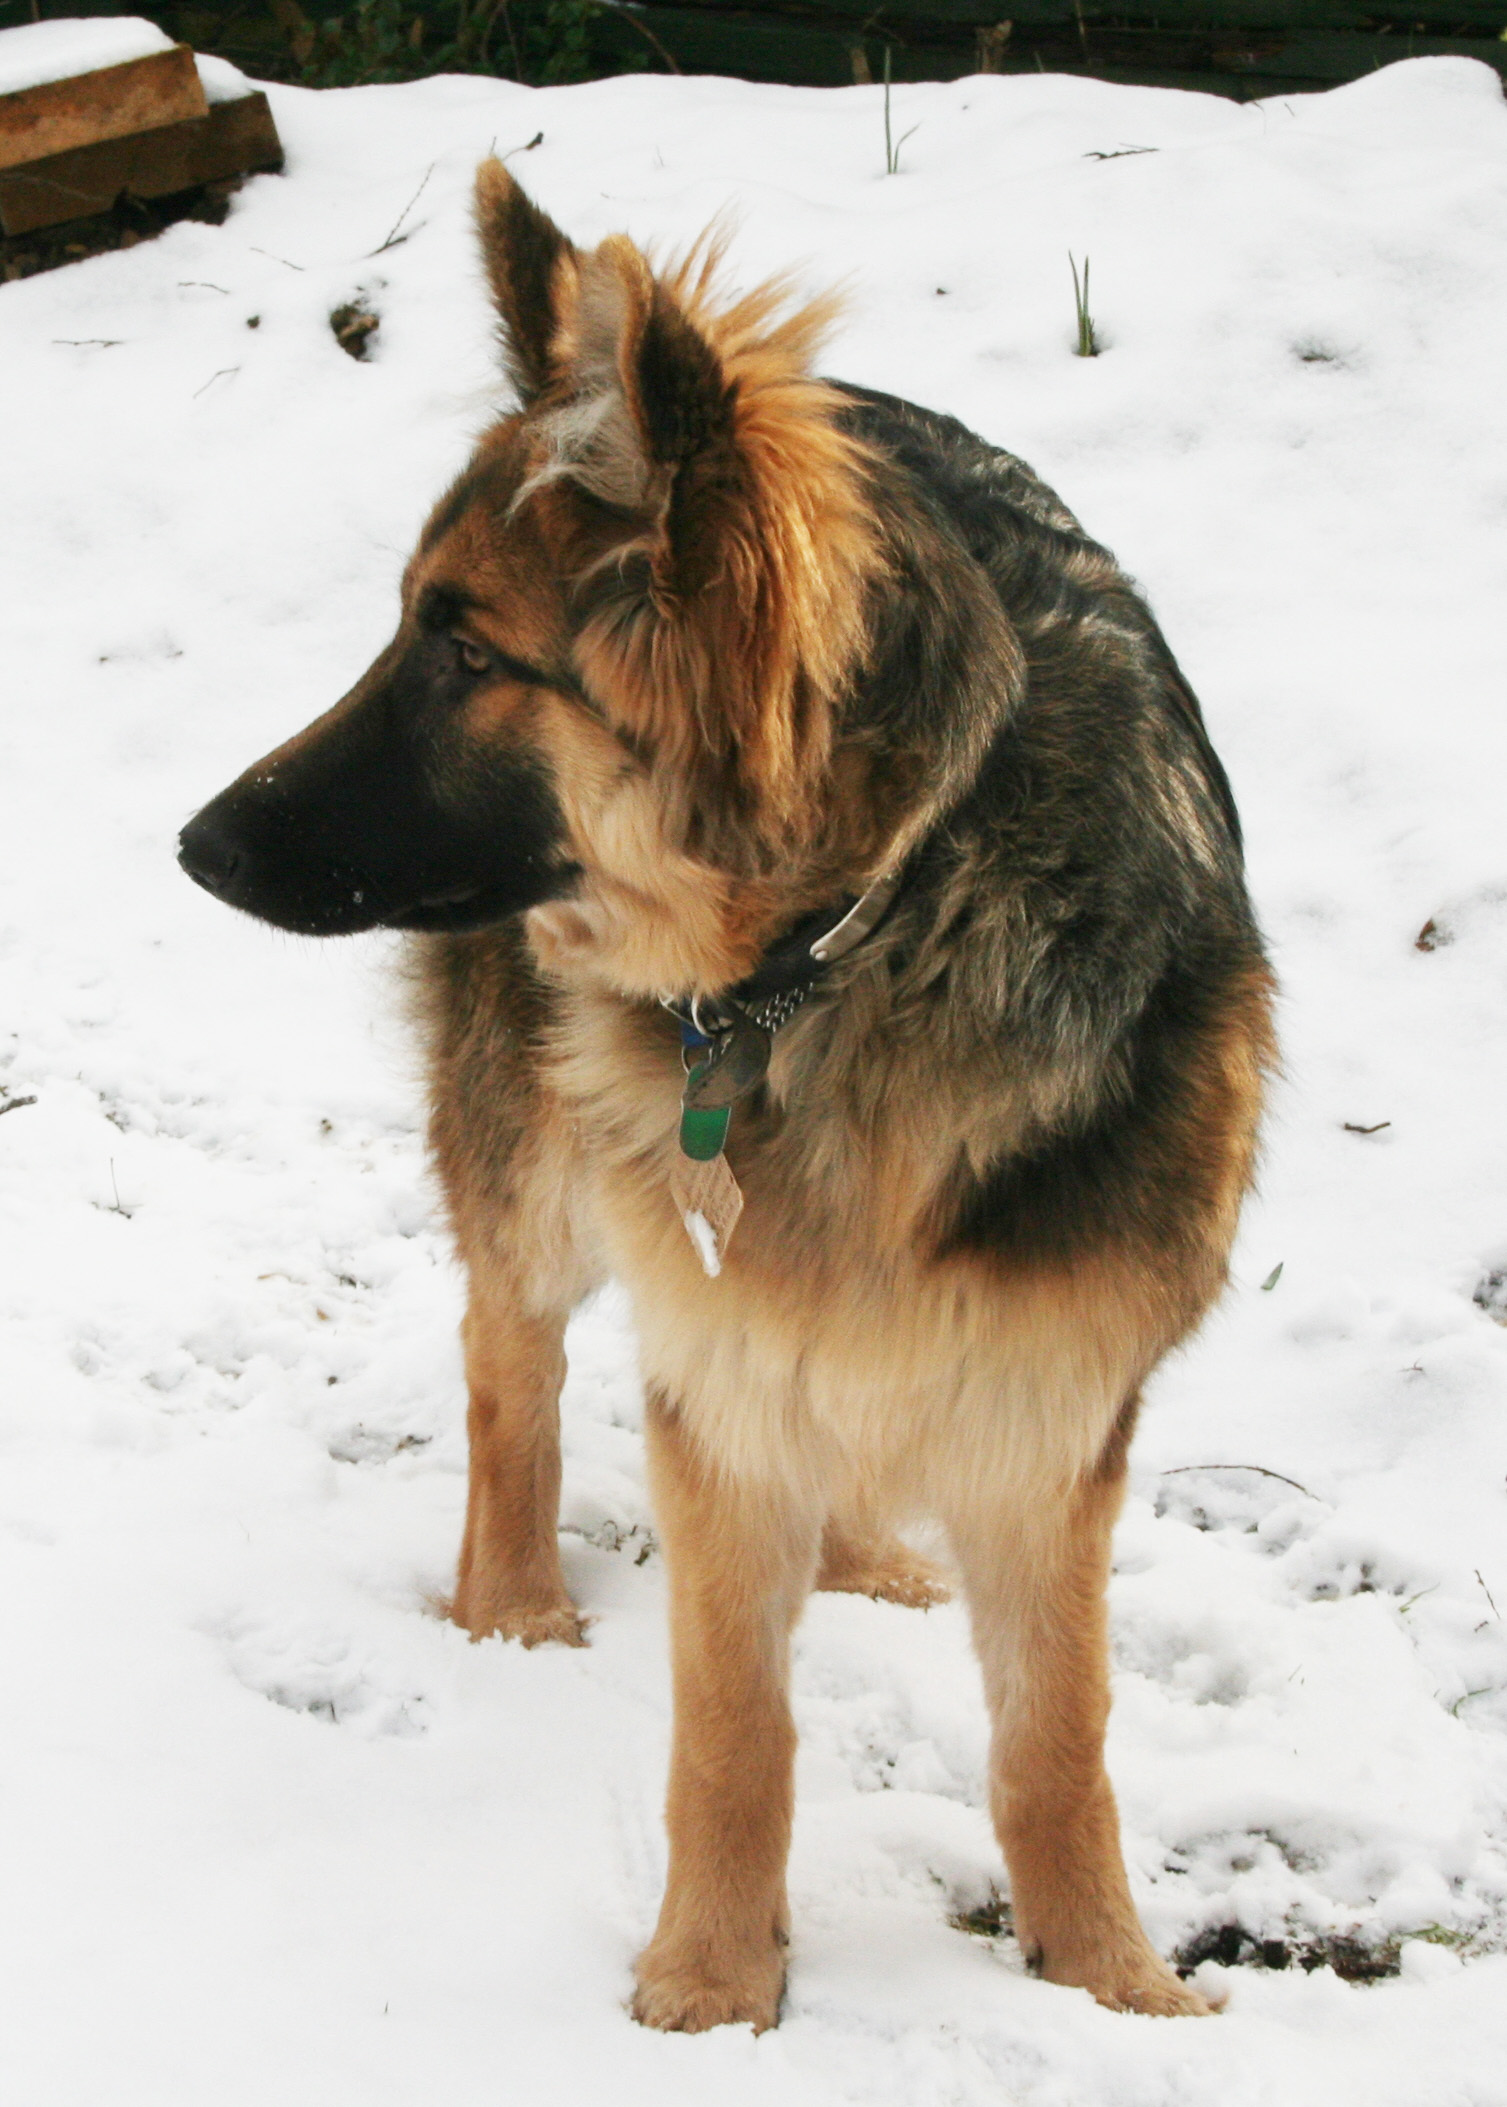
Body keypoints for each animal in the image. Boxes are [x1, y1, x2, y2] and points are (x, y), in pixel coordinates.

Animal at [182, 160, 1281, 2022]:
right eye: (411, 625)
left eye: (463, 650)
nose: (196, 842)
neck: (861, 930)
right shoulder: (714, 1380)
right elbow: (733, 1730)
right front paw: (707, 1991)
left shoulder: (1050, 1407)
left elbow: (1055, 1738)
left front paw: (1106, 1984)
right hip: (544, 1170)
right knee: (509, 1365)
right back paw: (513, 1600)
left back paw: (859, 1556)